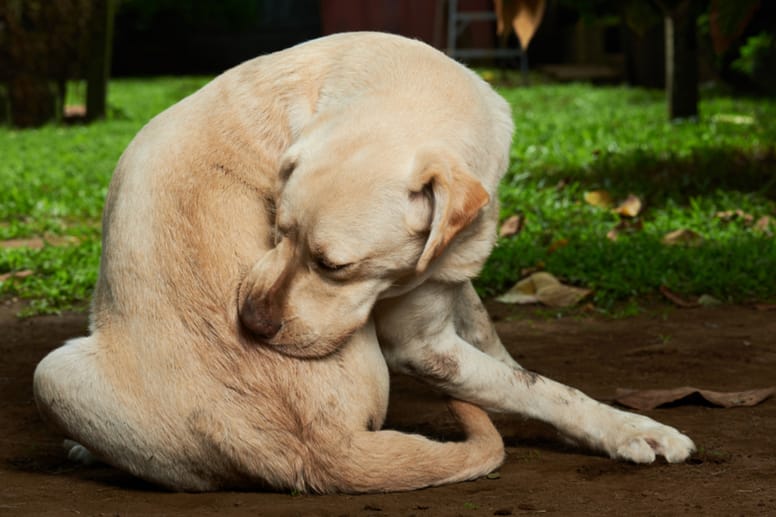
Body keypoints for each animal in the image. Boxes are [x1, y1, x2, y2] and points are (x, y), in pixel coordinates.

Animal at [33, 31, 696, 492]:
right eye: (277, 230)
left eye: (336, 267)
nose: (250, 324)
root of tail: (317, 451)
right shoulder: (421, 346)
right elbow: (540, 387)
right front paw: (631, 428)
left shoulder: (448, 288)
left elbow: (510, 362)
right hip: (50, 372)